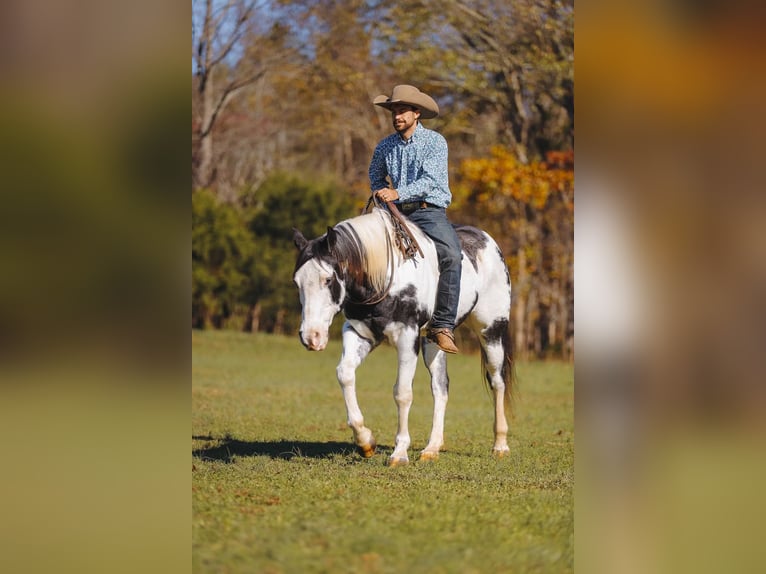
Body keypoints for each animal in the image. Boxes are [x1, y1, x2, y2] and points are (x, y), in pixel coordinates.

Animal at [294, 208, 516, 468]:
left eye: (327, 279)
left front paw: (399, 453)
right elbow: (345, 374)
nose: (311, 336)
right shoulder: (359, 333)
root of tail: (488, 242)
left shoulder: (407, 337)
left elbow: (402, 392)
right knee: (441, 387)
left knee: (497, 382)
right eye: (297, 282)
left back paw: (500, 446)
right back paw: (432, 449)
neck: (384, 277)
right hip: (434, 341)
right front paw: (365, 442)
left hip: (491, 330)